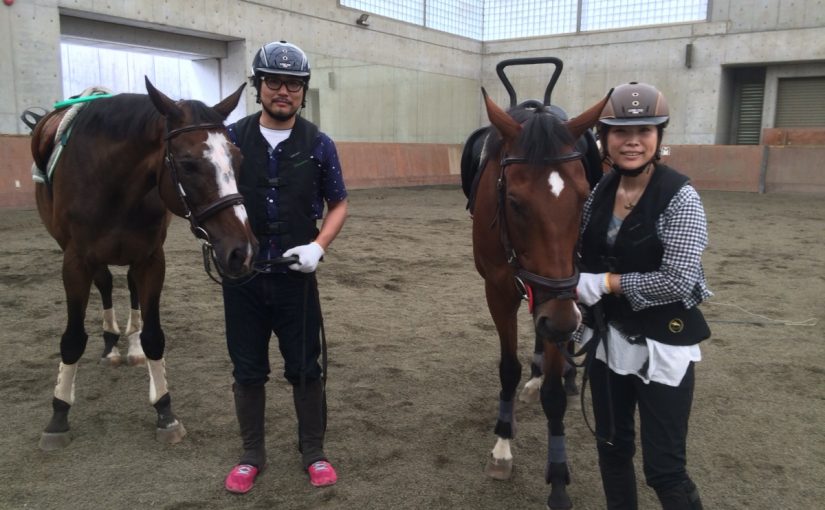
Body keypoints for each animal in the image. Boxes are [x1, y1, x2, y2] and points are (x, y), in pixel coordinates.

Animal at [27, 78, 258, 450]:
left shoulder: (151, 259)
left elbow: (153, 336)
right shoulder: (75, 260)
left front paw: (165, 409)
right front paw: (59, 414)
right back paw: (110, 344)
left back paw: (130, 346)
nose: (243, 251)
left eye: (237, 159)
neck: (112, 183)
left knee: (130, 290)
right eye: (188, 164)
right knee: (106, 284)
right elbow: (72, 339)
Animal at [466, 88, 610, 509]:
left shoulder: (564, 293)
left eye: (584, 198)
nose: (561, 321)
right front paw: (502, 446)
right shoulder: (499, 290)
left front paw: (559, 479)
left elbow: (554, 394)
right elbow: (508, 369)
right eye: (514, 201)